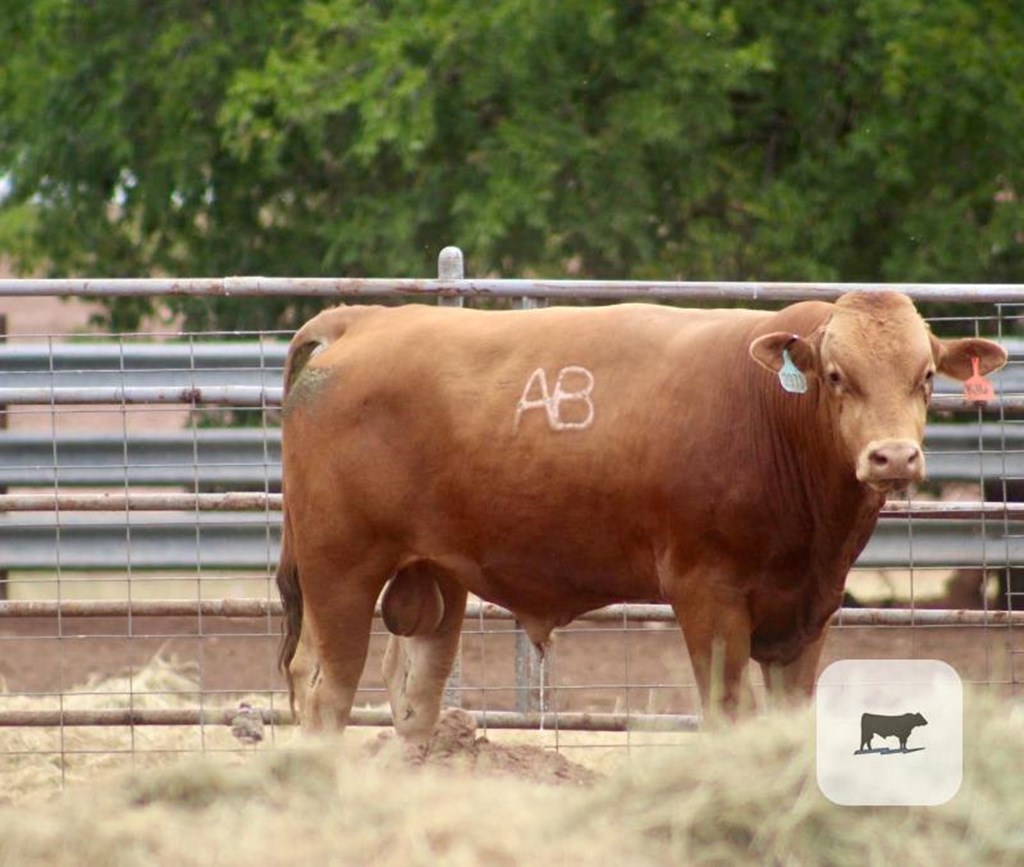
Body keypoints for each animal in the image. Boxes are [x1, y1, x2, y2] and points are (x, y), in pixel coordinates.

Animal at [276, 294, 1003, 737]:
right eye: (834, 375)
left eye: (926, 377)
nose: (893, 456)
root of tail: (364, 316)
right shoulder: (707, 594)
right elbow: (727, 710)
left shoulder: (809, 612)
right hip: (340, 565)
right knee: (322, 684)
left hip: (431, 575)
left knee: (416, 689)